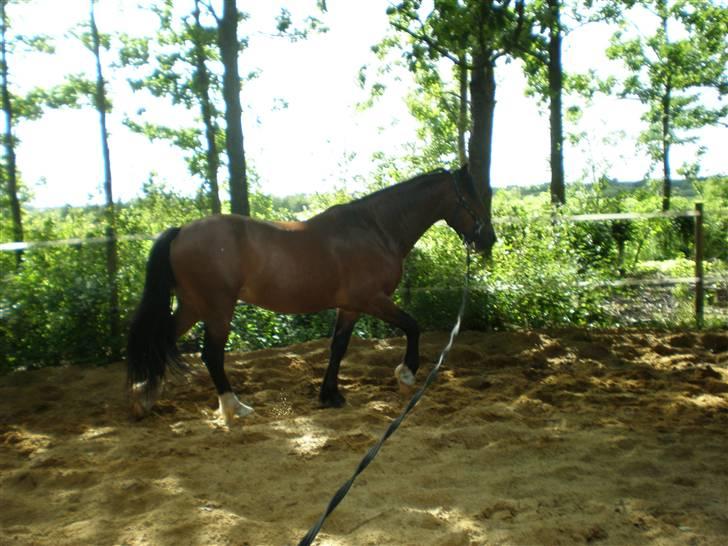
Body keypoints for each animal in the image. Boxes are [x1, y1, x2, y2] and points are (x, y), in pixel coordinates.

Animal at [129, 164, 494, 422]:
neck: (376, 229)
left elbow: (338, 347)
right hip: (218, 308)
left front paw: (330, 395)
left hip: (193, 305)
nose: (488, 238)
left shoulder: (349, 307)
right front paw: (405, 375)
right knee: (211, 355)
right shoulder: (371, 300)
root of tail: (180, 232)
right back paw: (235, 408)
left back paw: (144, 396)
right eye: (472, 198)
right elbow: (412, 326)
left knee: (162, 339)